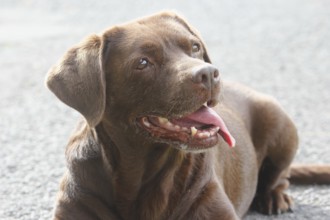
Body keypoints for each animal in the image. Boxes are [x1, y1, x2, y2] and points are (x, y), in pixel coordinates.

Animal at [46, 10, 330, 220]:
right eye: (143, 62)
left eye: (194, 47)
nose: (209, 74)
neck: (139, 175)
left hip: (279, 122)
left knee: (279, 175)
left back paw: (274, 196)